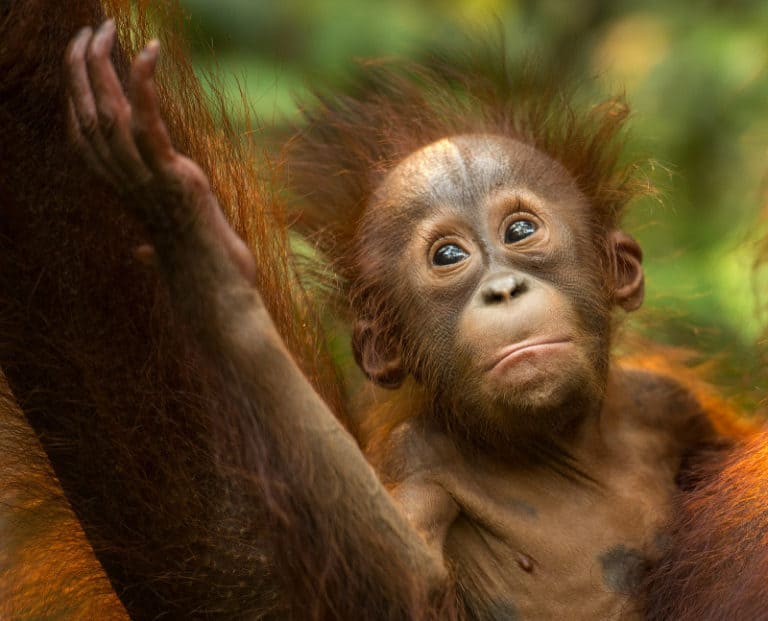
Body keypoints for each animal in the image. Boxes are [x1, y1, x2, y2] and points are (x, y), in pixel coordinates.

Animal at [1, 1, 768, 620]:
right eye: (448, 256)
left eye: (520, 230)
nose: (502, 289)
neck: (559, 449)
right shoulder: (415, 458)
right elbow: (410, 590)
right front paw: (198, 253)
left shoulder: (662, 401)